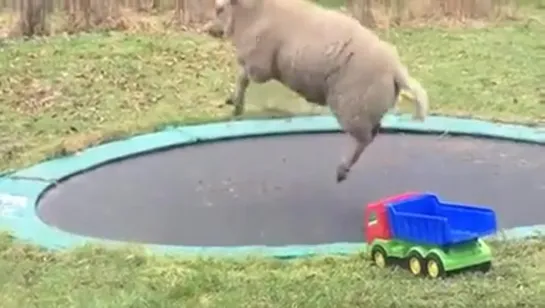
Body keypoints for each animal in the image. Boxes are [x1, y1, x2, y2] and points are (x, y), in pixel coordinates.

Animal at [212, 0, 430, 183]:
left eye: (219, 9)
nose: (210, 30)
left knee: (364, 139)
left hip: (353, 107)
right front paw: (234, 104)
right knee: (374, 133)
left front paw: (235, 103)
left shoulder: (259, 65)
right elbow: (242, 78)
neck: (252, 13)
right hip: (367, 108)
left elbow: (242, 77)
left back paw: (342, 170)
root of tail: (396, 70)